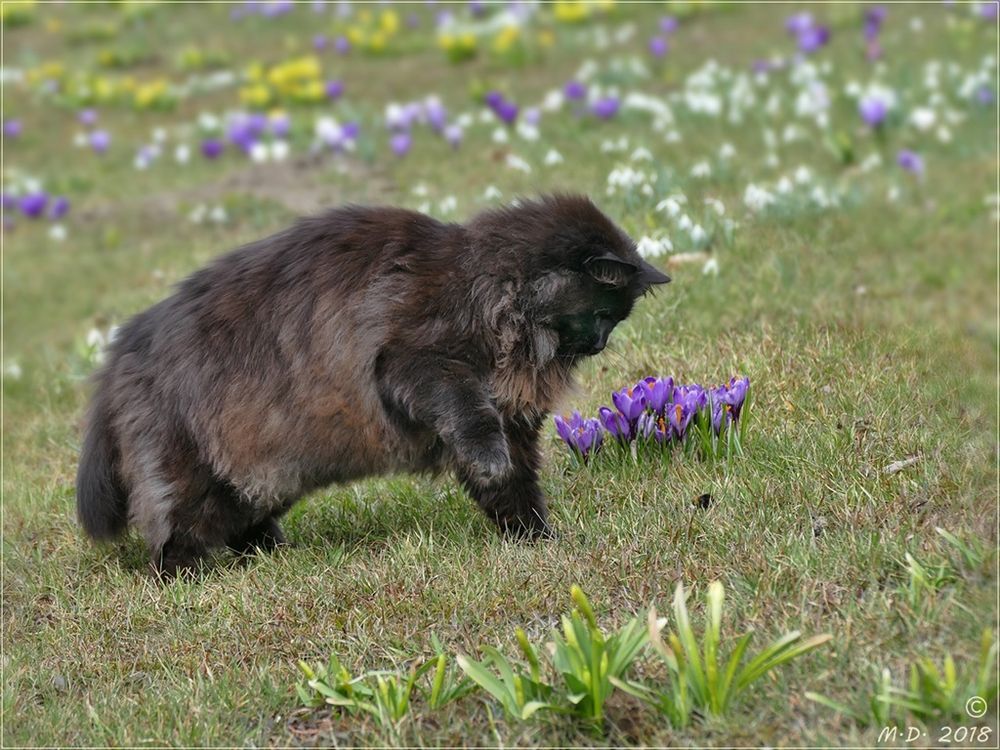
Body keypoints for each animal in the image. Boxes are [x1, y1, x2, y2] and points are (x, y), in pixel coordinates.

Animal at [76, 194, 672, 576]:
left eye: (615, 320)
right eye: (602, 313)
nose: (599, 343)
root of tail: (124, 348)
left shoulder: (517, 424)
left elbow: (515, 489)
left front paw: (537, 541)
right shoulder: (417, 363)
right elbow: (476, 427)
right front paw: (498, 477)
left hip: (263, 476)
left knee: (241, 523)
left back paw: (273, 556)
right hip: (196, 476)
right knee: (175, 537)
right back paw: (191, 582)